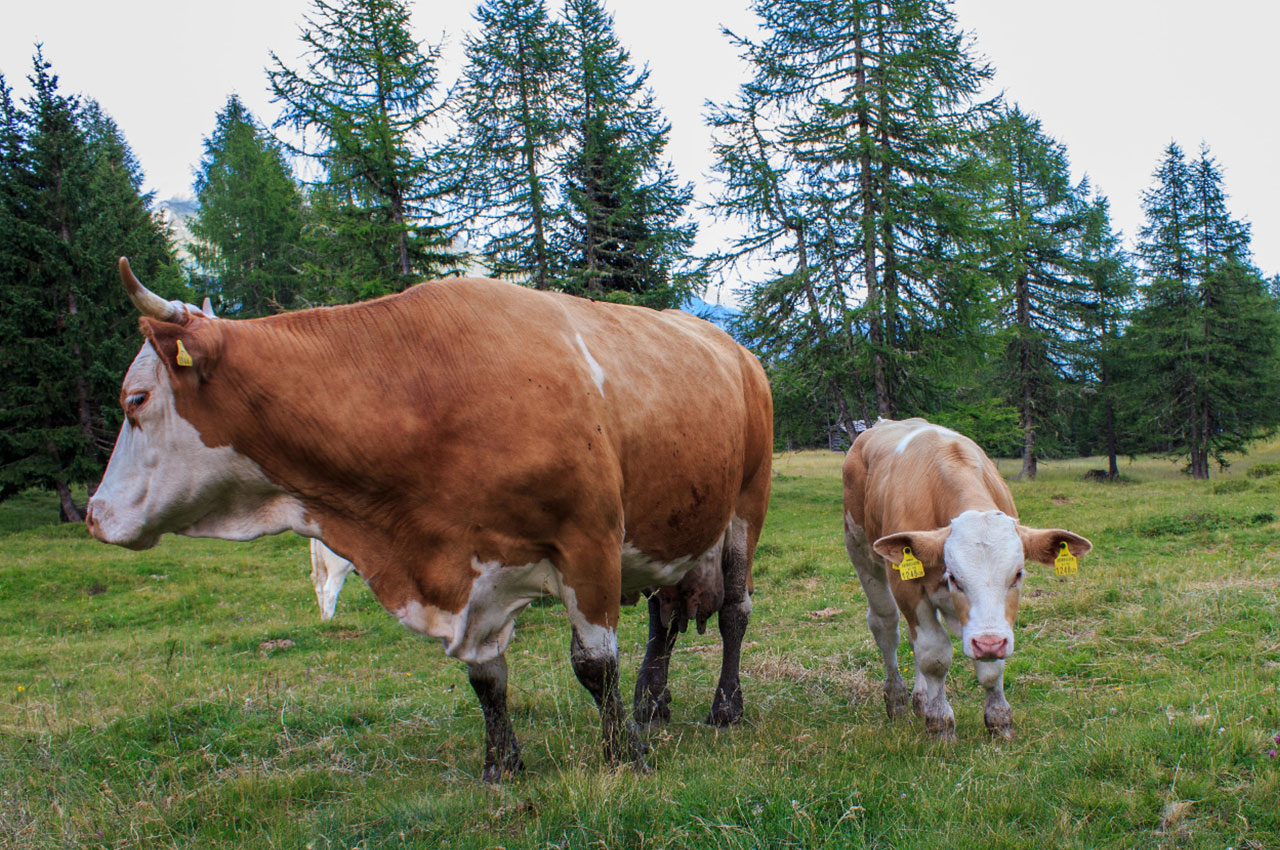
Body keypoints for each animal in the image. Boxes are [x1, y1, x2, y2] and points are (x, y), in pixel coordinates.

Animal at [90, 257, 773, 778]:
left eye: (135, 400)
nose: (95, 515)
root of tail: (736, 348)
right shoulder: (468, 572)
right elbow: (487, 677)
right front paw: (503, 765)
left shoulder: (590, 540)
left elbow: (593, 664)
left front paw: (623, 756)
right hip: (670, 528)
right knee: (664, 619)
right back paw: (651, 705)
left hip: (745, 505)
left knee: (733, 613)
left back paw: (725, 708)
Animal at [839, 417, 1090, 737]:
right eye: (954, 577)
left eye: (1018, 574)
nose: (988, 643)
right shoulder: (908, 588)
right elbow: (934, 656)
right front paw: (940, 725)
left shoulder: (991, 625)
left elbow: (991, 668)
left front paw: (999, 720)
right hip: (860, 549)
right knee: (886, 626)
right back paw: (896, 701)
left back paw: (921, 698)